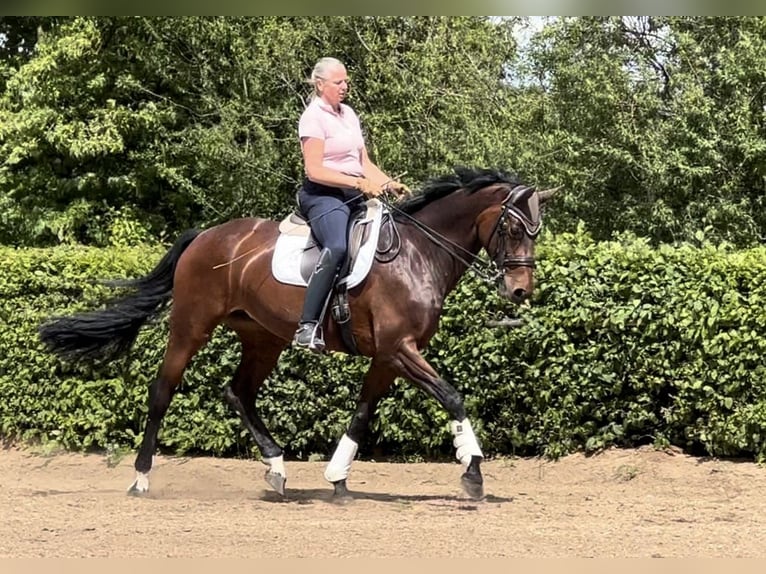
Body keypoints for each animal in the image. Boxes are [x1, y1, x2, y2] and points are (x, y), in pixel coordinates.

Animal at [37, 166, 560, 500]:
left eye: (536, 231)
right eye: (514, 229)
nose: (519, 291)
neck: (417, 254)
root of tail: (204, 236)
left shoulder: (388, 356)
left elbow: (362, 413)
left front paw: (337, 477)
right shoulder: (400, 349)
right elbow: (452, 396)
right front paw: (472, 470)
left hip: (263, 337)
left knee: (238, 392)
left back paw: (275, 468)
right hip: (191, 325)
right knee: (163, 391)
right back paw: (142, 479)